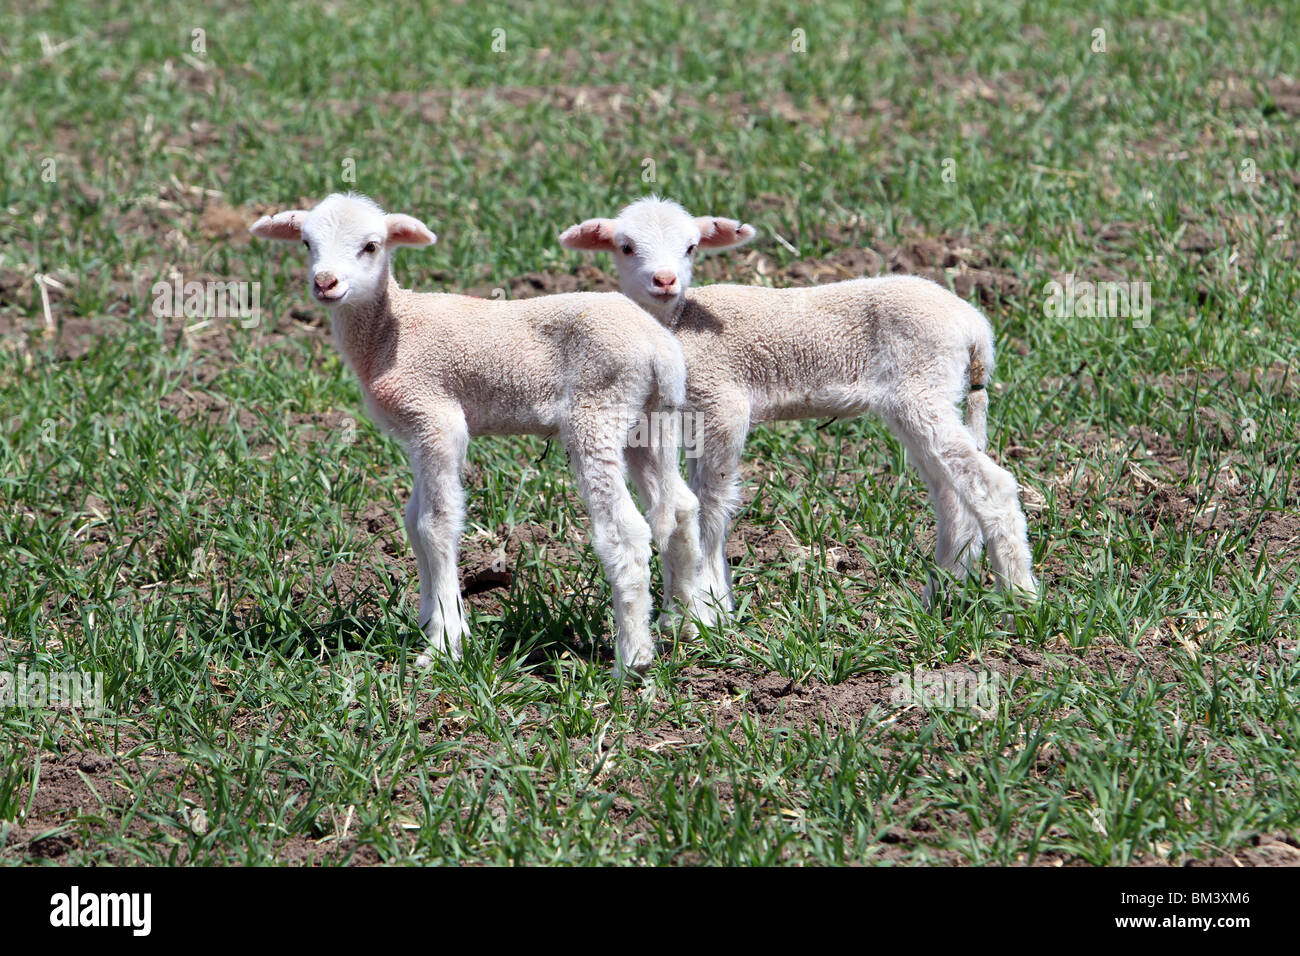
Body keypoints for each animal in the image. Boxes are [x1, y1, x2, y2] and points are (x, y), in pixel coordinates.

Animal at [250, 193, 704, 676]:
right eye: (306, 243)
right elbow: (413, 523)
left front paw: (444, 643)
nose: (325, 283)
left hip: (598, 409)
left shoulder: (436, 417)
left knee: (626, 531)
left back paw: (633, 658)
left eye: (371, 246)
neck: (389, 330)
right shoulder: (416, 430)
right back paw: (685, 626)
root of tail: (659, 346)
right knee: (678, 507)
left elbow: (436, 525)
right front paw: (429, 621)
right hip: (651, 420)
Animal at [559, 197, 1038, 622]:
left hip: (922, 388)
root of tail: (974, 326)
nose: (664, 280)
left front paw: (712, 606)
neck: (677, 324)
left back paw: (1022, 601)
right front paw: (704, 601)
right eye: (625, 246)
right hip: (923, 398)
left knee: (991, 485)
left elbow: (712, 503)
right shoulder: (690, 413)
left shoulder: (724, 401)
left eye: (691, 246)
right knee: (952, 497)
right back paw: (938, 598)